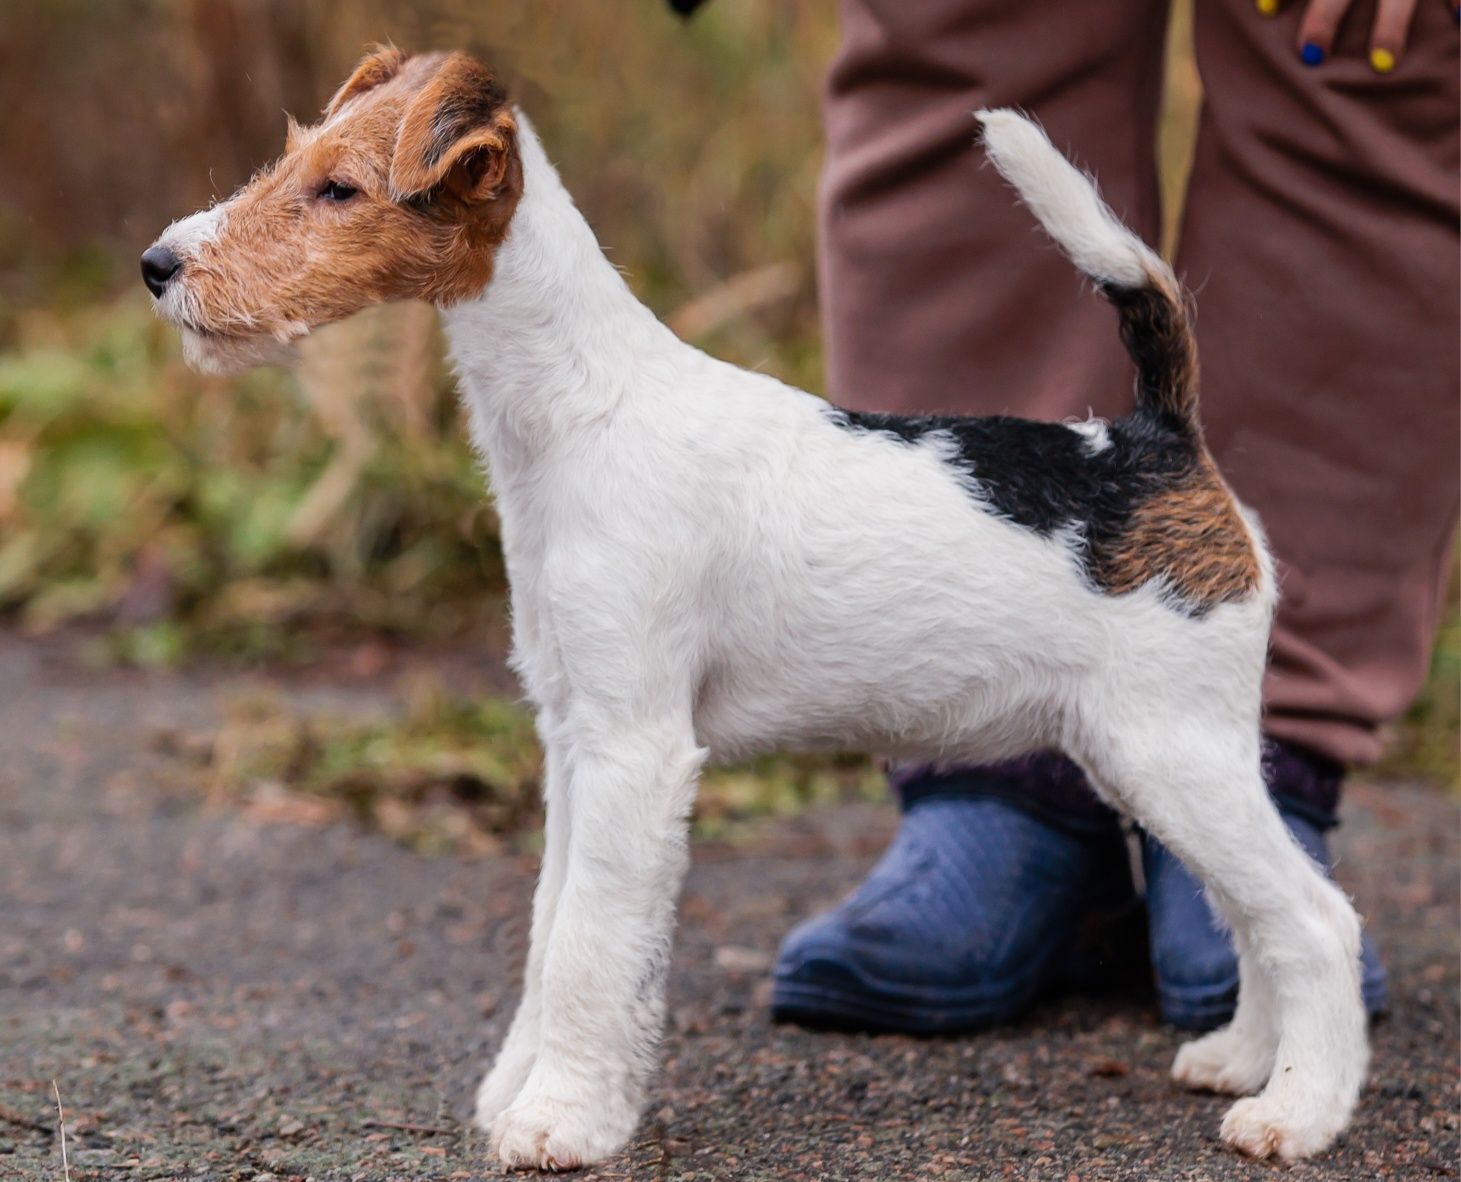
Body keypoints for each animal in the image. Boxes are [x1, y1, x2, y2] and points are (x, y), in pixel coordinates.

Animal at [145, 48, 1367, 1168]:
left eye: (340, 188)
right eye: (292, 154)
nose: (157, 266)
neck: (576, 413)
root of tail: (1162, 444)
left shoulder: (637, 751)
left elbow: (589, 947)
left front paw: (561, 1122)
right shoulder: (573, 737)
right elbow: (549, 929)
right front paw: (521, 1092)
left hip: (1170, 748)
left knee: (1315, 920)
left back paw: (1295, 1113)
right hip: (1151, 757)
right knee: (1258, 916)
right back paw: (1241, 1059)